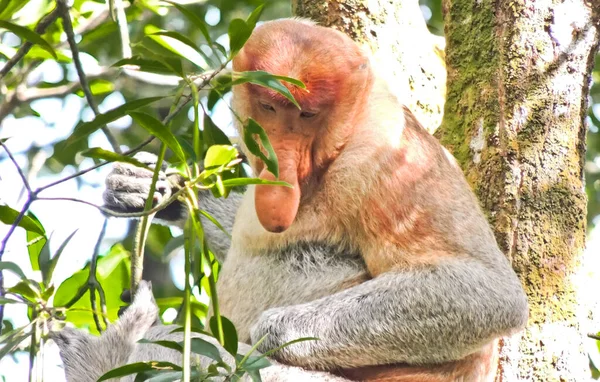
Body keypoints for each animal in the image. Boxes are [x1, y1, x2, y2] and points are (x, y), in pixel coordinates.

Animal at [96, 17, 528, 382]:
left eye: (307, 115)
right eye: (269, 107)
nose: (280, 167)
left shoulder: (384, 160)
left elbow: (488, 294)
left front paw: (269, 332)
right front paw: (155, 191)